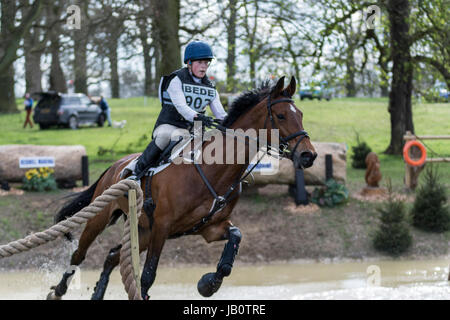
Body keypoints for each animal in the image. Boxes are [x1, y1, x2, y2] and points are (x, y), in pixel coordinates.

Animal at [48, 75, 316, 300]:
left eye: (301, 113)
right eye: (281, 116)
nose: (308, 156)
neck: (213, 169)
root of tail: (115, 166)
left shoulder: (208, 228)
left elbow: (234, 241)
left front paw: (209, 284)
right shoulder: (162, 226)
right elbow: (148, 276)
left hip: (143, 230)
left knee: (112, 255)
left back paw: (97, 294)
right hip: (102, 217)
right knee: (79, 254)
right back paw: (58, 291)